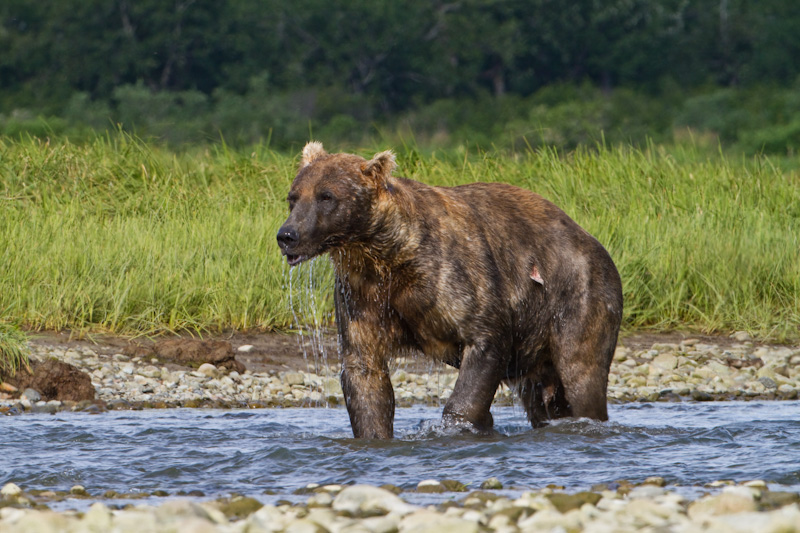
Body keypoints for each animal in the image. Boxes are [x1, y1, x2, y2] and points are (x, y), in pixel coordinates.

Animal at [278, 141, 620, 436]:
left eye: (326, 196)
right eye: (293, 197)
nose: (287, 235)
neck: (388, 255)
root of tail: (594, 241)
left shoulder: (458, 279)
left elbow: (484, 344)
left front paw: (460, 424)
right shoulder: (363, 295)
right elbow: (364, 372)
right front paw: (374, 431)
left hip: (576, 294)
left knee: (580, 373)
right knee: (544, 398)